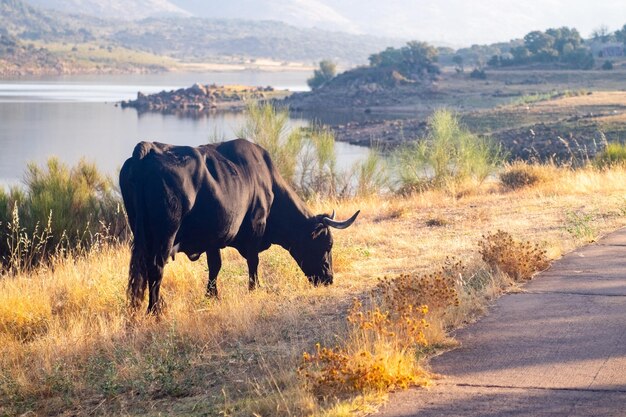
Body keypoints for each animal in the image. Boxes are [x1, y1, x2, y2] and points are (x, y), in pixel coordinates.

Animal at [119, 138, 358, 314]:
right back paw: (155, 310)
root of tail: (148, 149)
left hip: (141, 236)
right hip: (165, 235)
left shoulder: (213, 237)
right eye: (327, 245)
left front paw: (212, 295)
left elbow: (215, 266)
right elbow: (253, 261)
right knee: (156, 268)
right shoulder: (256, 227)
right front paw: (255, 288)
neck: (269, 184)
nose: (329, 279)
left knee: (141, 270)